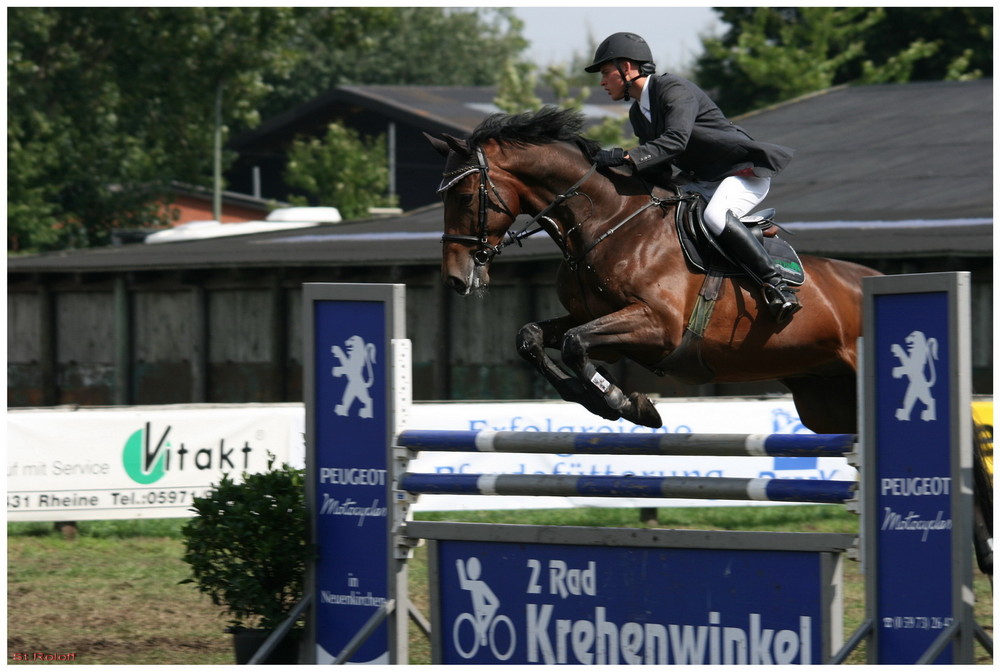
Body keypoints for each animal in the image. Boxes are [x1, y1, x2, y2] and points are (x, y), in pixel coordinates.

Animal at [426, 107, 880, 434]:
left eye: (465, 197)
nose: (455, 278)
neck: (606, 224)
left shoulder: (657, 326)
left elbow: (573, 344)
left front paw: (628, 405)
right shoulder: (596, 321)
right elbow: (532, 337)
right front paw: (595, 399)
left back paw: (779, 295)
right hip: (827, 398)